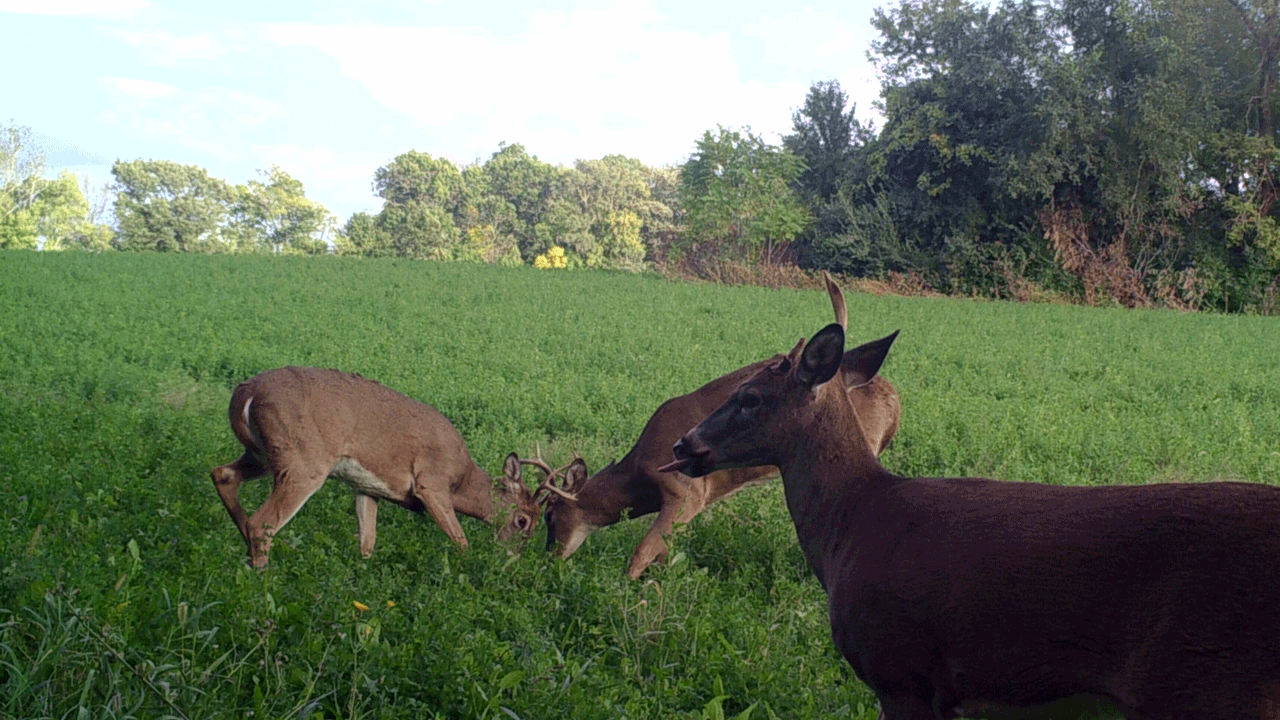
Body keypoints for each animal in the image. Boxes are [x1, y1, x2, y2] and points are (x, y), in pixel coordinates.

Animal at [209, 363, 540, 566]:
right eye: (523, 520)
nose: (514, 558)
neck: (462, 480)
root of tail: (245, 393)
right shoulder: (431, 483)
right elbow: (461, 541)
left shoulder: (368, 488)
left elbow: (367, 542)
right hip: (303, 461)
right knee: (261, 524)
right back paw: (263, 579)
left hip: (262, 455)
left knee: (222, 475)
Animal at [527, 271, 901, 579]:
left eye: (549, 514)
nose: (548, 559)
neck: (639, 479)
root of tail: (895, 401)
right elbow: (661, 556)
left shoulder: (684, 492)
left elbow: (640, 555)